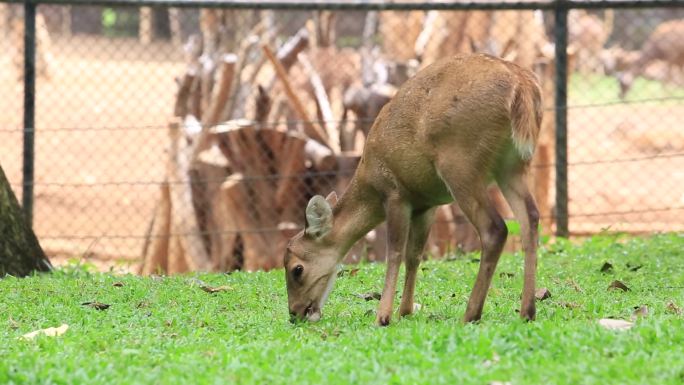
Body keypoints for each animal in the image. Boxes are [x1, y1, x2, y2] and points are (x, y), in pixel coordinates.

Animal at [282, 53, 540, 324]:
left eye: (296, 269)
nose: (295, 312)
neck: (370, 183)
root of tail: (522, 86)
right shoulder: (426, 204)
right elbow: (414, 254)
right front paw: (405, 310)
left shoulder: (395, 194)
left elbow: (394, 252)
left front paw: (383, 316)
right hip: (512, 165)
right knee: (530, 218)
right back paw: (527, 310)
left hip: (461, 164)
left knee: (495, 228)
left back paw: (471, 314)